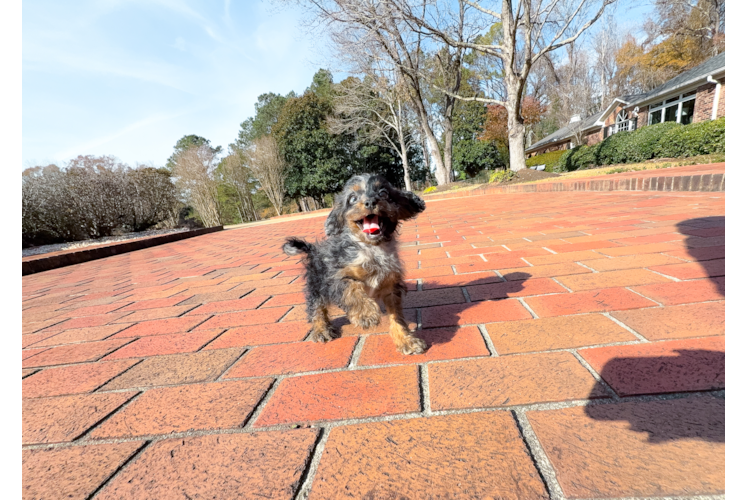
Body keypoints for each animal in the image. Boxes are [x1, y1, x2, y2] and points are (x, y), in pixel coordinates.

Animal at [282, 174, 426, 354]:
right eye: (352, 198)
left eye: (384, 193)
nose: (370, 202)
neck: (372, 249)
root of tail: (313, 249)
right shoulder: (336, 278)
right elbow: (353, 288)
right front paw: (365, 314)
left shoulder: (391, 286)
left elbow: (397, 317)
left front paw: (406, 340)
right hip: (317, 286)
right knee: (316, 308)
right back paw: (322, 330)